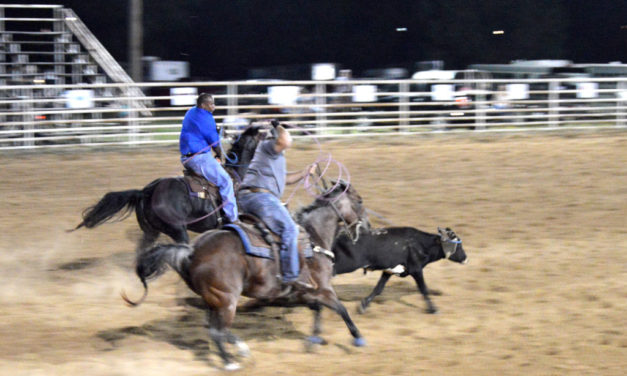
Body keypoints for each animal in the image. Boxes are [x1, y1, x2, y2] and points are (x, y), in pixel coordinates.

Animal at [126, 180, 372, 370]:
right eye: (359, 201)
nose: (368, 226)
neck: (313, 238)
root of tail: (192, 251)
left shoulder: (308, 292)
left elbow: (318, 310)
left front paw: (313, 340)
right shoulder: (323, 288)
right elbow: (341, 309)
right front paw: (358, 338)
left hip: (213, 300)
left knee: (215, 329)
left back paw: (240, 350)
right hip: (226, 300)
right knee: (217, 331)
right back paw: (230, 362)